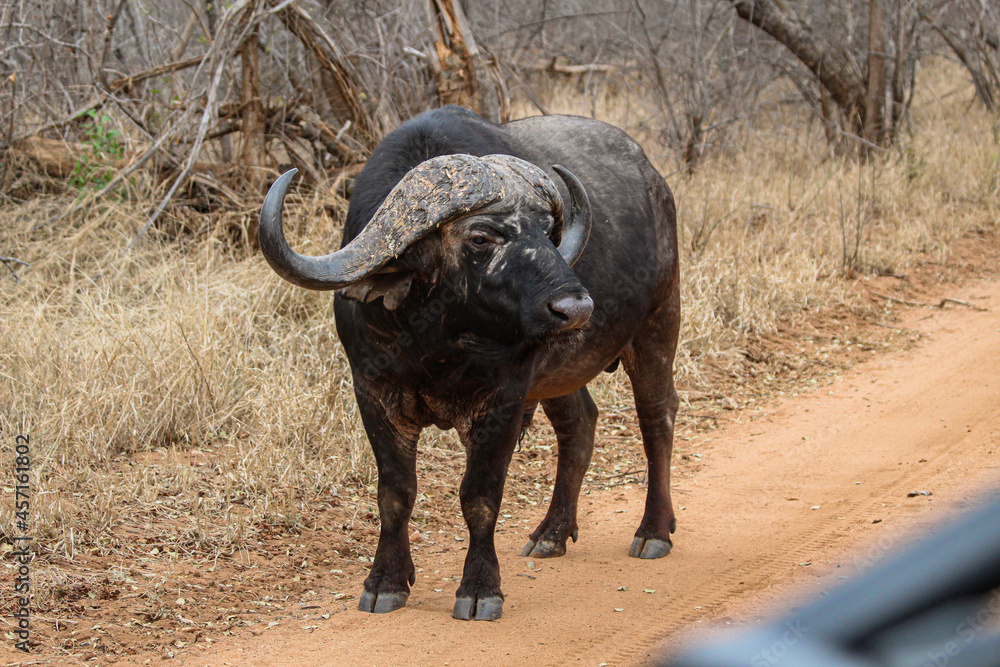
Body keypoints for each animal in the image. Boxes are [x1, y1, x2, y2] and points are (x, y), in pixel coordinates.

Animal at [258, 105, 680, 621]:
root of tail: (654, 181)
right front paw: (386, 581)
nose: (576, 308)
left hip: (659, 322)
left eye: (549, 231)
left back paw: (654, 531)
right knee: (580, 424)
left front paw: (480, 589)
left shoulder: (503, 399)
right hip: (560, 372)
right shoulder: (373, 393)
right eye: (481, 238)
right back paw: (552, 533)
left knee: (657, 417)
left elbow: (480, 496)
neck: (435, 341)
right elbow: (394, 493)